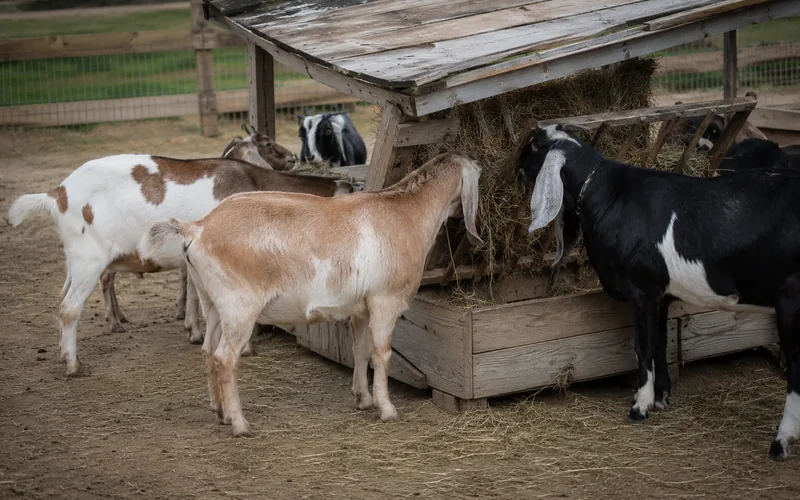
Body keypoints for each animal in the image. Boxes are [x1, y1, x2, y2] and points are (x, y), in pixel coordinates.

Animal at [8, 155, 359, 376]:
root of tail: (57, 194)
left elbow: (194, 294)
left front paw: (194, 330)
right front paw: (243, 346)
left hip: (74, 259)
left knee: (60, 299)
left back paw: (63, 352)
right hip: (89, 258)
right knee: (69, 307)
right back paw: (73, 365)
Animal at [137, 152, 482, 436]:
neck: (407, 213)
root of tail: (198, 228)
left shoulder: (360, 308)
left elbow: (360, 350)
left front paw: (363, 398)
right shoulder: (384, 301)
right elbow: (382, 353)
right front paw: (387, 408)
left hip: (212, 302)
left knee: (208, 350)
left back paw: (220, 412)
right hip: (239, 307)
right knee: (225, 357)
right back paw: (240, 424)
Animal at [517, 124, 800, 461]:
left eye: (535, 146)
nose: (516, 170)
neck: (608, 194)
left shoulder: (642, 290)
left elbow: (643, 346)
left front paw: (640, 405)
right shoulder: (661, 294)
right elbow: (661, 343)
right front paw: (662, 396)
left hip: (792, 300)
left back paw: (781, 442)